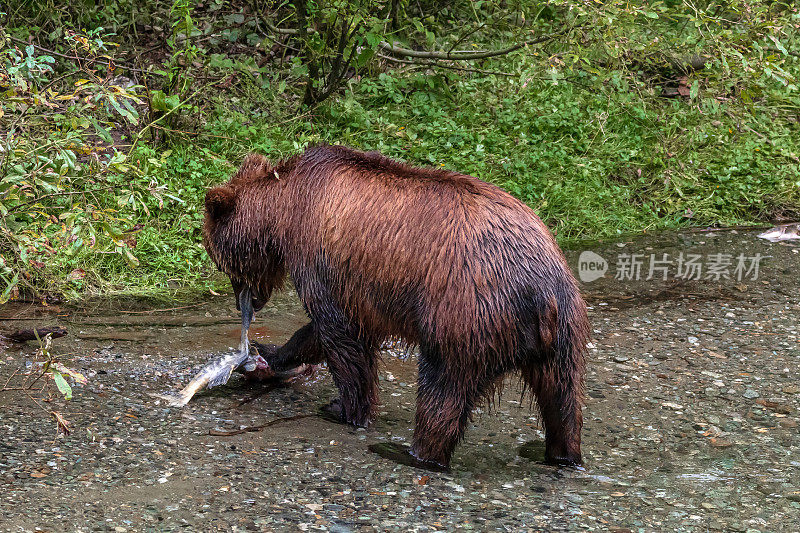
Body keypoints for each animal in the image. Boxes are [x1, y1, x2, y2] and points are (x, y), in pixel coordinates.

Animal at [203, 145, 592, 470]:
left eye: (221, 262)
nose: (244, 305)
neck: (283, 211)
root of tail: (540, 292)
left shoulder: (321, 258)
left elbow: (339, 335)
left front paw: (344, 408)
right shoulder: (359, 290)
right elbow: (321, 332)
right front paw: (271, 353)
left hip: (465, 311)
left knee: (443, 387)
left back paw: (413, 452)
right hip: (565, 324)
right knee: (563, 397)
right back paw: (562, 453)